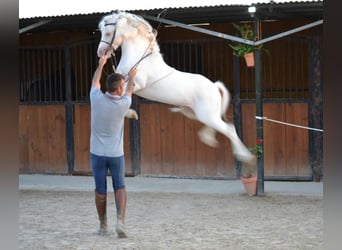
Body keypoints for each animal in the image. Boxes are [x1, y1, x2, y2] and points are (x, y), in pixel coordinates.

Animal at [97, 10, 256, 165]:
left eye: (108, 33)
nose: (101, 53)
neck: (139, 58)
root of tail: (214, 86)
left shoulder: (135, 84)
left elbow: (121, 100)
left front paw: (131, 114)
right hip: (197, 114)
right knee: (221, 128)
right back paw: (209, 139)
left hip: (208, 116)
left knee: (230, 130)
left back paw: (246, 157)